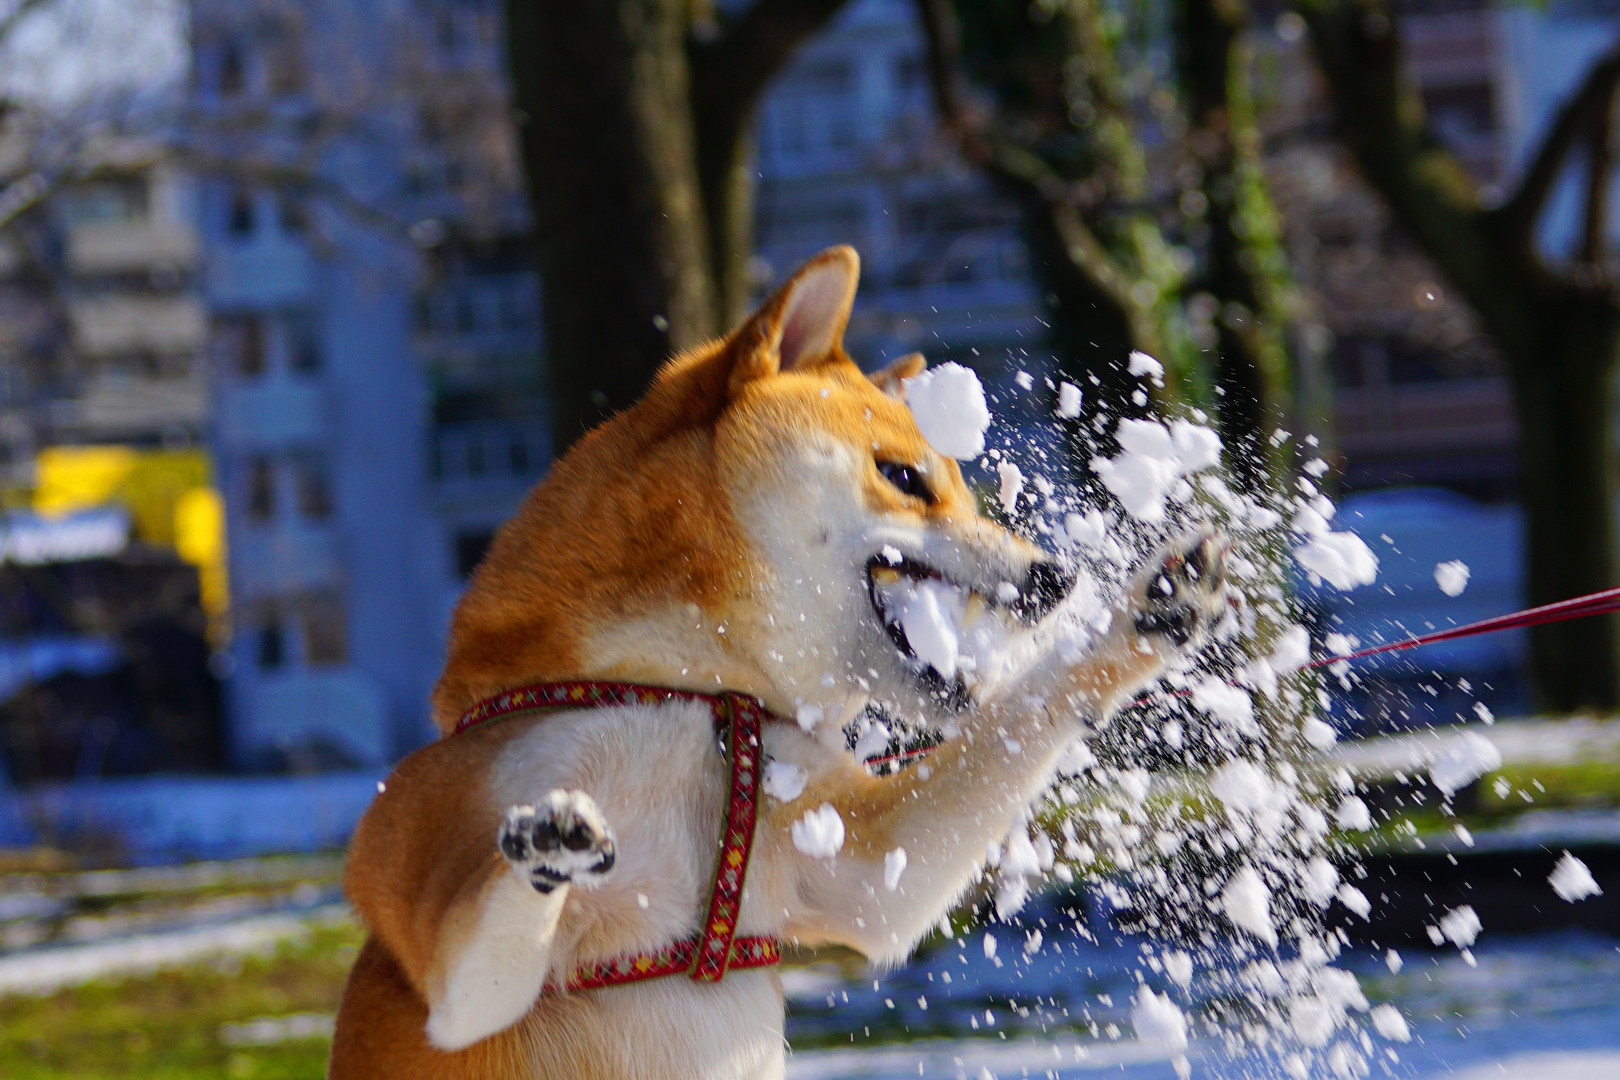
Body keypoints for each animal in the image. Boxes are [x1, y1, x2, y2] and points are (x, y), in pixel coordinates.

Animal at [328, 245, 1227, 1079]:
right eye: (904, 477)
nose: (1056, 578)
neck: (677, 693)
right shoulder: (453, 981)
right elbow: (488, 929)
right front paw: (547, 844)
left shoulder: (856, 871)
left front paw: (1147, 614)